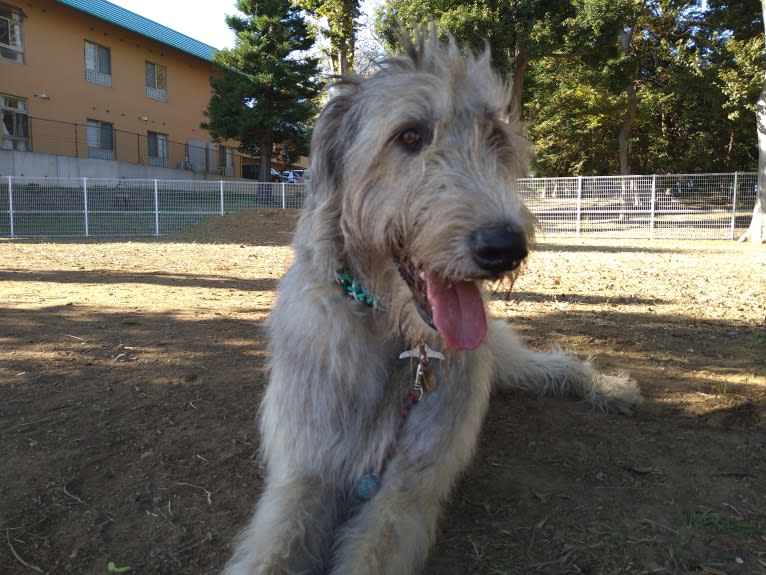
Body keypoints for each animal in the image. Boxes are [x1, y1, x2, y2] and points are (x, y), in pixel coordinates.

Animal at [224, 33, 640, 575]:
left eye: (496, 139)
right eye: (409, 136)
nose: (506, 247)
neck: (392, 335)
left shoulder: (408, 488)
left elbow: (375, 547)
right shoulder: (304, 471)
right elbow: (272, 550)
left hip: (499, 360)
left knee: (549, 364)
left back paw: (608, 385)